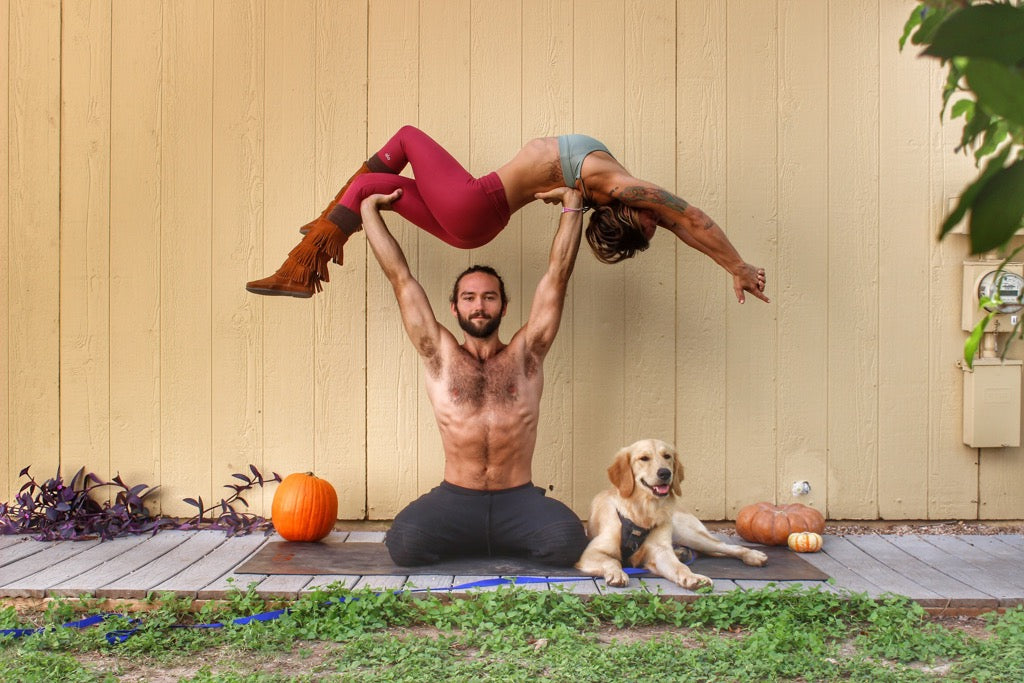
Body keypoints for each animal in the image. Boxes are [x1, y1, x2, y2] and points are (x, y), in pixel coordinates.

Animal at [577, 440, 770, 589]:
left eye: (667, 456)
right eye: (644, 458)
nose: (665, 473)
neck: (643, 511)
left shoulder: (660, 551)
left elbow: (680, 568)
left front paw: (693, 577)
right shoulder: (591, 552)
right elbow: (612, 561)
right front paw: (617, 573)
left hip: (689, 534)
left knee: (725, 547)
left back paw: (753, 555)